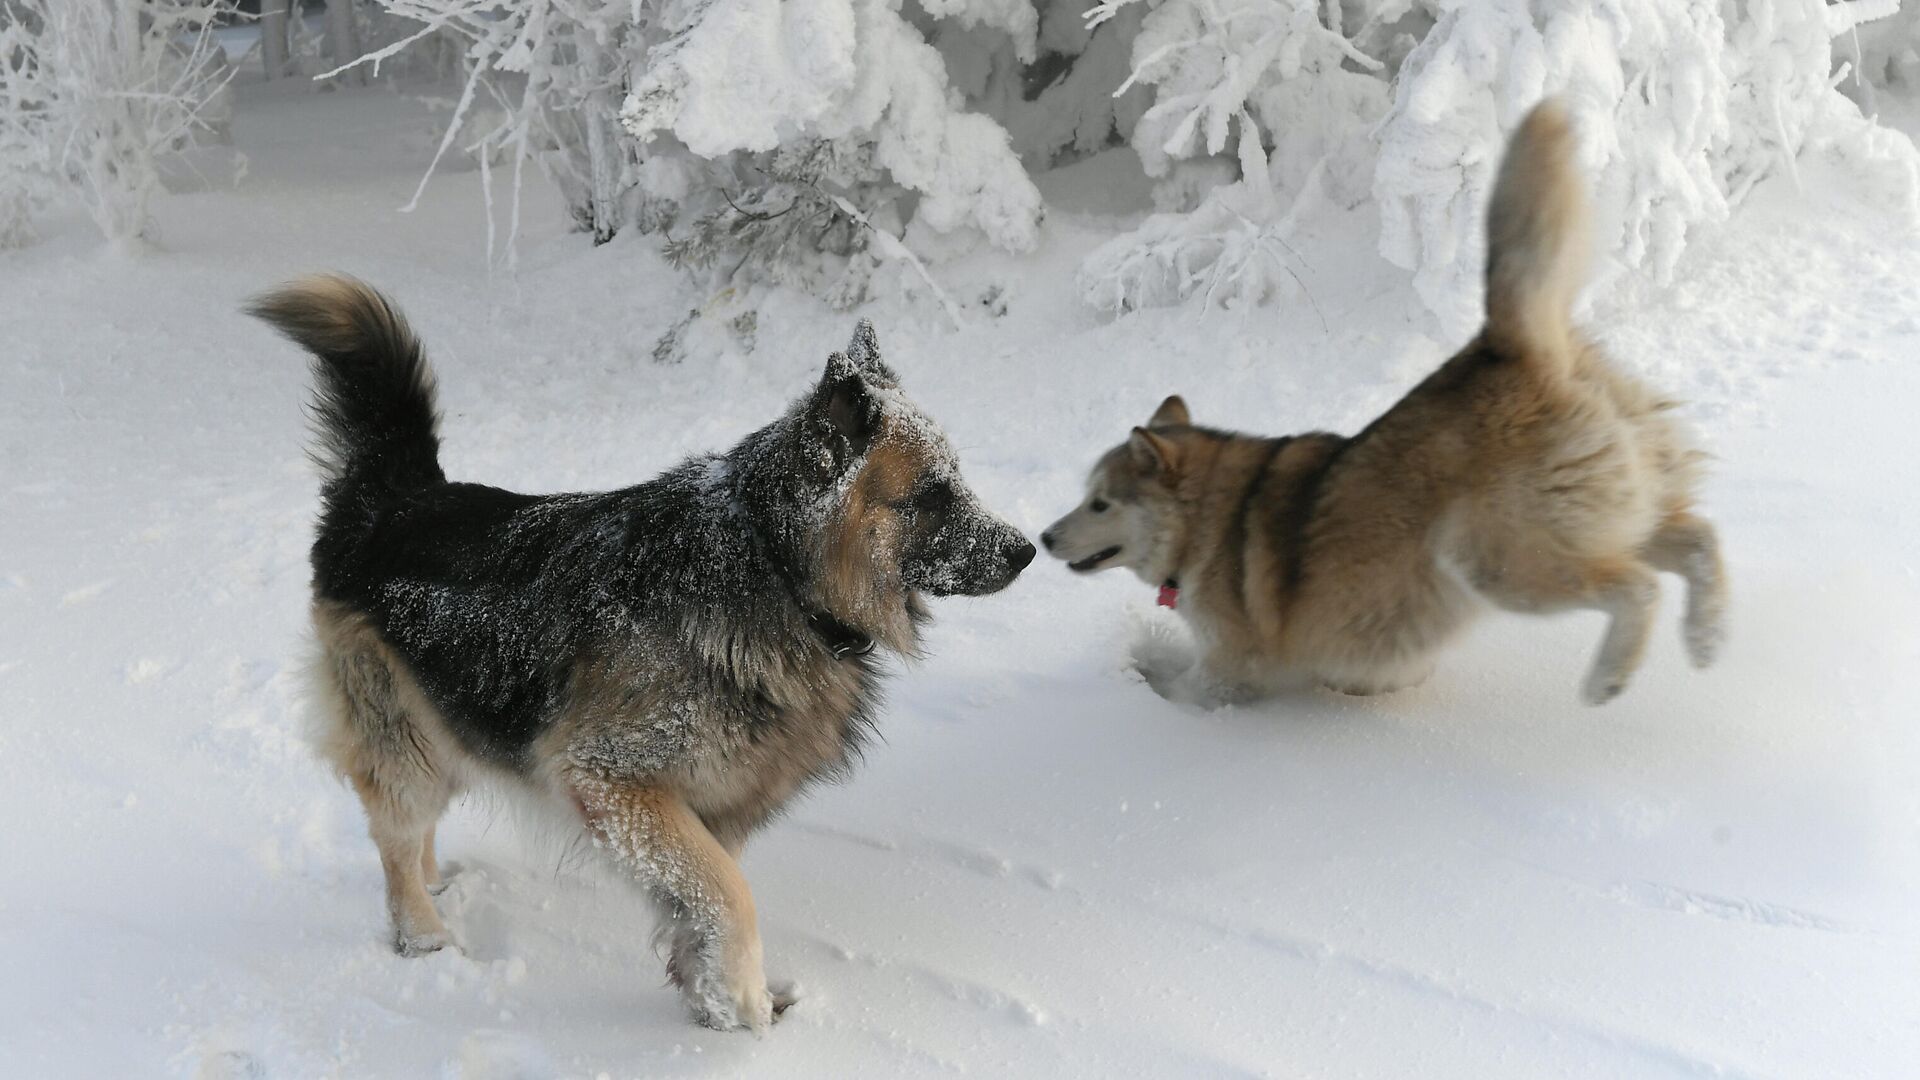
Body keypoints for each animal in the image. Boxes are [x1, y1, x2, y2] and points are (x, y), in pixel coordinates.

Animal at [253, 276, 1036, 1022]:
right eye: (932, 494)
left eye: (958, 482)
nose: (1026, 551)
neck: (773, 567)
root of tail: (396, 496)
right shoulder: (610, 780)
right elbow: (731, 895)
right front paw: (743, 1006)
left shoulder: (710, 805)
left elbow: (704, 901)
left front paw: (709, 998)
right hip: (403, 740)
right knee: (393, 838)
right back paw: (423, 934)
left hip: (449, 724)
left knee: (416, 832)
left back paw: (439, 884)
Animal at [1044, 100, 1735, 707]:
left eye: (1100, 503)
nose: (1045, 538)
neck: (1207, 524)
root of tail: (1512, 349)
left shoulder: (1231, 672)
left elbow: (1183, 687)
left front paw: (1142, 675)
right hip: (1618, 514)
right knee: (1700, 538)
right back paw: (1707, 638)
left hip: (1499, 563)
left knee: (1638, 587)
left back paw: (1608, 678)